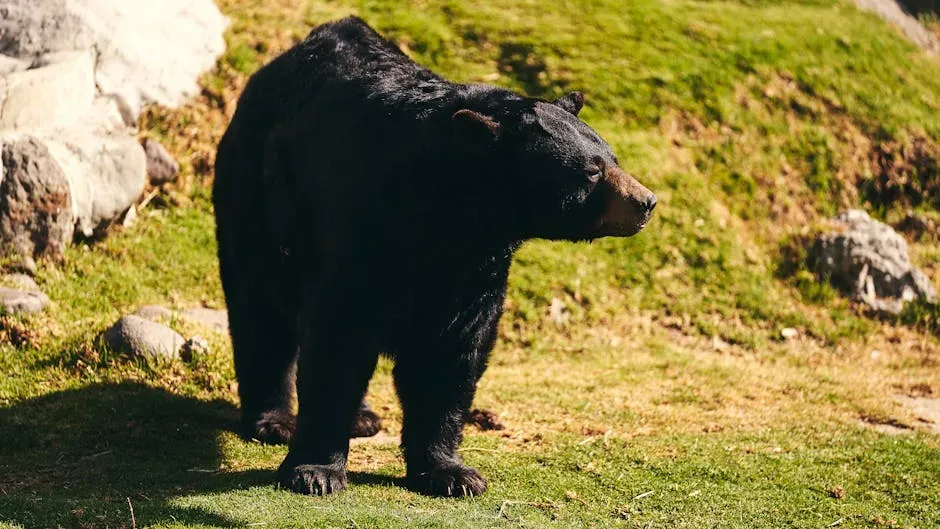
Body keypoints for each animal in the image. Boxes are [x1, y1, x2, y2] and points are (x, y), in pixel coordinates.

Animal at [212, 16, 656, 498]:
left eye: (613, 158)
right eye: (591, 172)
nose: (646, 202)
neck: (448, 212)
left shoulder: (474, 267)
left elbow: (452, 353)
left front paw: (451, 473)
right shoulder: (365, 228)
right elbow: (339, 337)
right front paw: (315, 471)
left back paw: (363, 417)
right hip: (257, 199)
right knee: (261, 312)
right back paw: (274, 421)